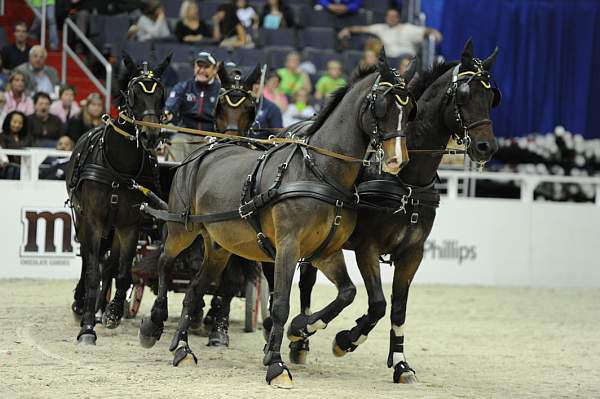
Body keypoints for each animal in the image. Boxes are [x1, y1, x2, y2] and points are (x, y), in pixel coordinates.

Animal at [67, 53, 172, 346]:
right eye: (134, 93)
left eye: (161, 94)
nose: (150, 135)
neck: (119, 168)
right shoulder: (92, 220)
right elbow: (92, 271)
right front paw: (87, 327)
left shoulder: (130, 223)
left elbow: (123, 272)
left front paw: (112, 312)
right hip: (83, 219)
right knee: (88, 260)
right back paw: (81, 303)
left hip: (114, 227)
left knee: (111, 265)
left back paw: (101, 307)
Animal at [138, 47, 414, 388]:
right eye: (382, 106)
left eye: (410, 108)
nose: (397, 160)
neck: (318, 171)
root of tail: (203, 150)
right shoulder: (287, 247)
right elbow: (280, 304)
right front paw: (277, 363)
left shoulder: (326, 251)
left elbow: (347, 293)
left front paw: (302, 328)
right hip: (181, 228)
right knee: (164, 263)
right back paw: (153, 325)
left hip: (218, 247)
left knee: (193, 292)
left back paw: (182, 349)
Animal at [288, 38, 500, 384]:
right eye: (465, 95)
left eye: (492, 97)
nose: (487, 147)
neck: (407, 181)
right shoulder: (367, 248)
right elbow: (377, 304)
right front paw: (345, 341)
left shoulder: (413, 252)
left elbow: (398, 309)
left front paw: (401, 364)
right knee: (305, 281)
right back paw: (301, 336)